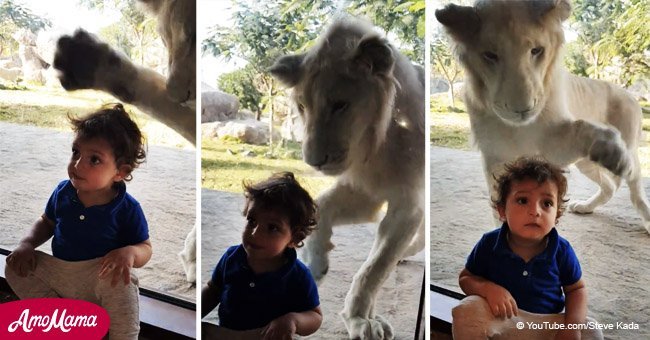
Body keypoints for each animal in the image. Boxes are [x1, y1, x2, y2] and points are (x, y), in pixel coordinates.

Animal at [268, 17, 426, 338]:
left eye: (340, 105)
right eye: (302, 107)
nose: (314, 162)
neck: (375, 146)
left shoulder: (407, 205)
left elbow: (375, 268)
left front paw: (360, 320)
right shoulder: (366, 191)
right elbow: (321, 204)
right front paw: (316, 262)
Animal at [436, 0, 648, 232]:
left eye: (536, 51)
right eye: (490, 55)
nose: (522, 109)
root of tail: (628, 93)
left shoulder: (551, 145)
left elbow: (582, 127)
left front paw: (614, 153)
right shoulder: (496, 156)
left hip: (629, 152)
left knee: (634, 189)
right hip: (586, 162)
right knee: (610, 186)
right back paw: (585, 206)